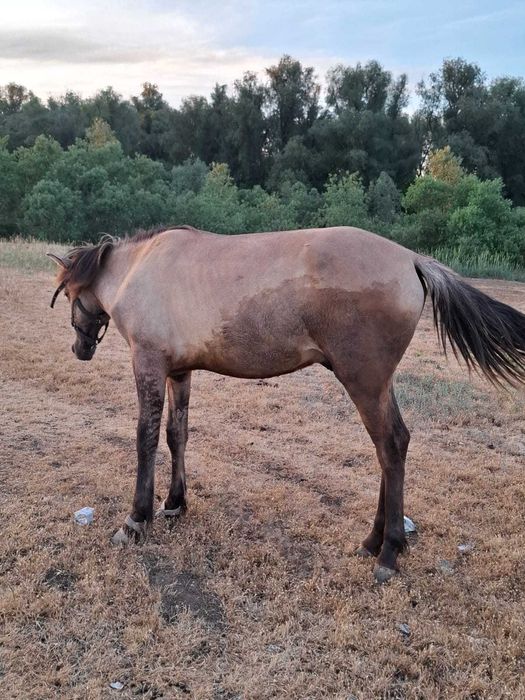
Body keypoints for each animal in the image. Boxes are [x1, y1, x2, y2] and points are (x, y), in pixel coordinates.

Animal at [47, 225, 525, 583]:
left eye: (68, 296)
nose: (79, 348)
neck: (141, 268)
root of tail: (410, 258)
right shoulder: (179, 372)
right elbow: (175, 434)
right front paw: (175, 504)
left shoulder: (148, 364)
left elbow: (145, 439)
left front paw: (136, 519)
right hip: (378, 384)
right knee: (397, 444)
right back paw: (374, 542)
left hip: (365, 383)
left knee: (389, 447)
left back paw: (389, 552)